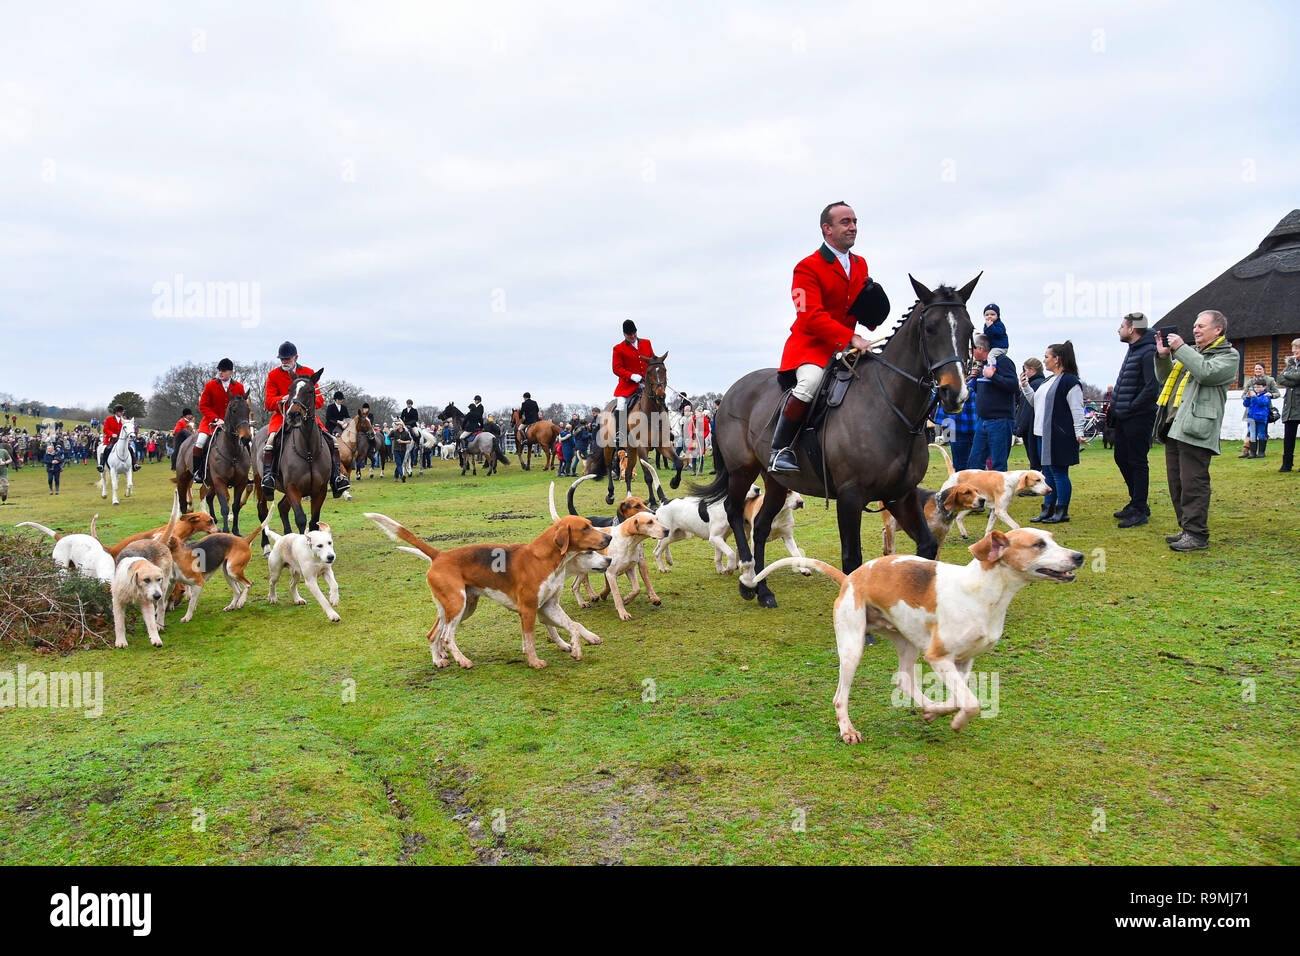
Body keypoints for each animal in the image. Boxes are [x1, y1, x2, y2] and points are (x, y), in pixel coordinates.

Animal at [249, 374, 327, 554]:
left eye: (310, 390)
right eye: (290, 390)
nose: (293, 415)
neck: (308, 451)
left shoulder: (320, 490)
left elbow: (314, 521)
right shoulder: (293, 488)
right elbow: (301, 519)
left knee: (282, 507)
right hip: (260, 483)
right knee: (262, 511)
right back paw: (266, 546)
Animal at [587, 351, 686, 509]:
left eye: (664, 370)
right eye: (649, 372)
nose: (660, 396)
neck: (651, 412)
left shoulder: (663, 444)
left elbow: (679, 463)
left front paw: (674, 483)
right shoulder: (642, 447)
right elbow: (648, 476)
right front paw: (653, 501)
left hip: (631, 449)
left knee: (627, 473)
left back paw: (629, 498)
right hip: (610, 447)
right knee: (609, 467)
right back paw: (610, 495)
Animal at [691, 274, 977, 606]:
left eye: (969, 328)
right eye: (930, 328)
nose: (955, 394)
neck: (889, 406)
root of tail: (730, 393)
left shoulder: (901, 495)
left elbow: (927, 547)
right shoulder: (850, 499)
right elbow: (852, 560)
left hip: (775, 480)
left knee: (760, 526)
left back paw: (763, 590)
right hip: (742, 471)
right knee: (735, 512)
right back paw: (748, 576)